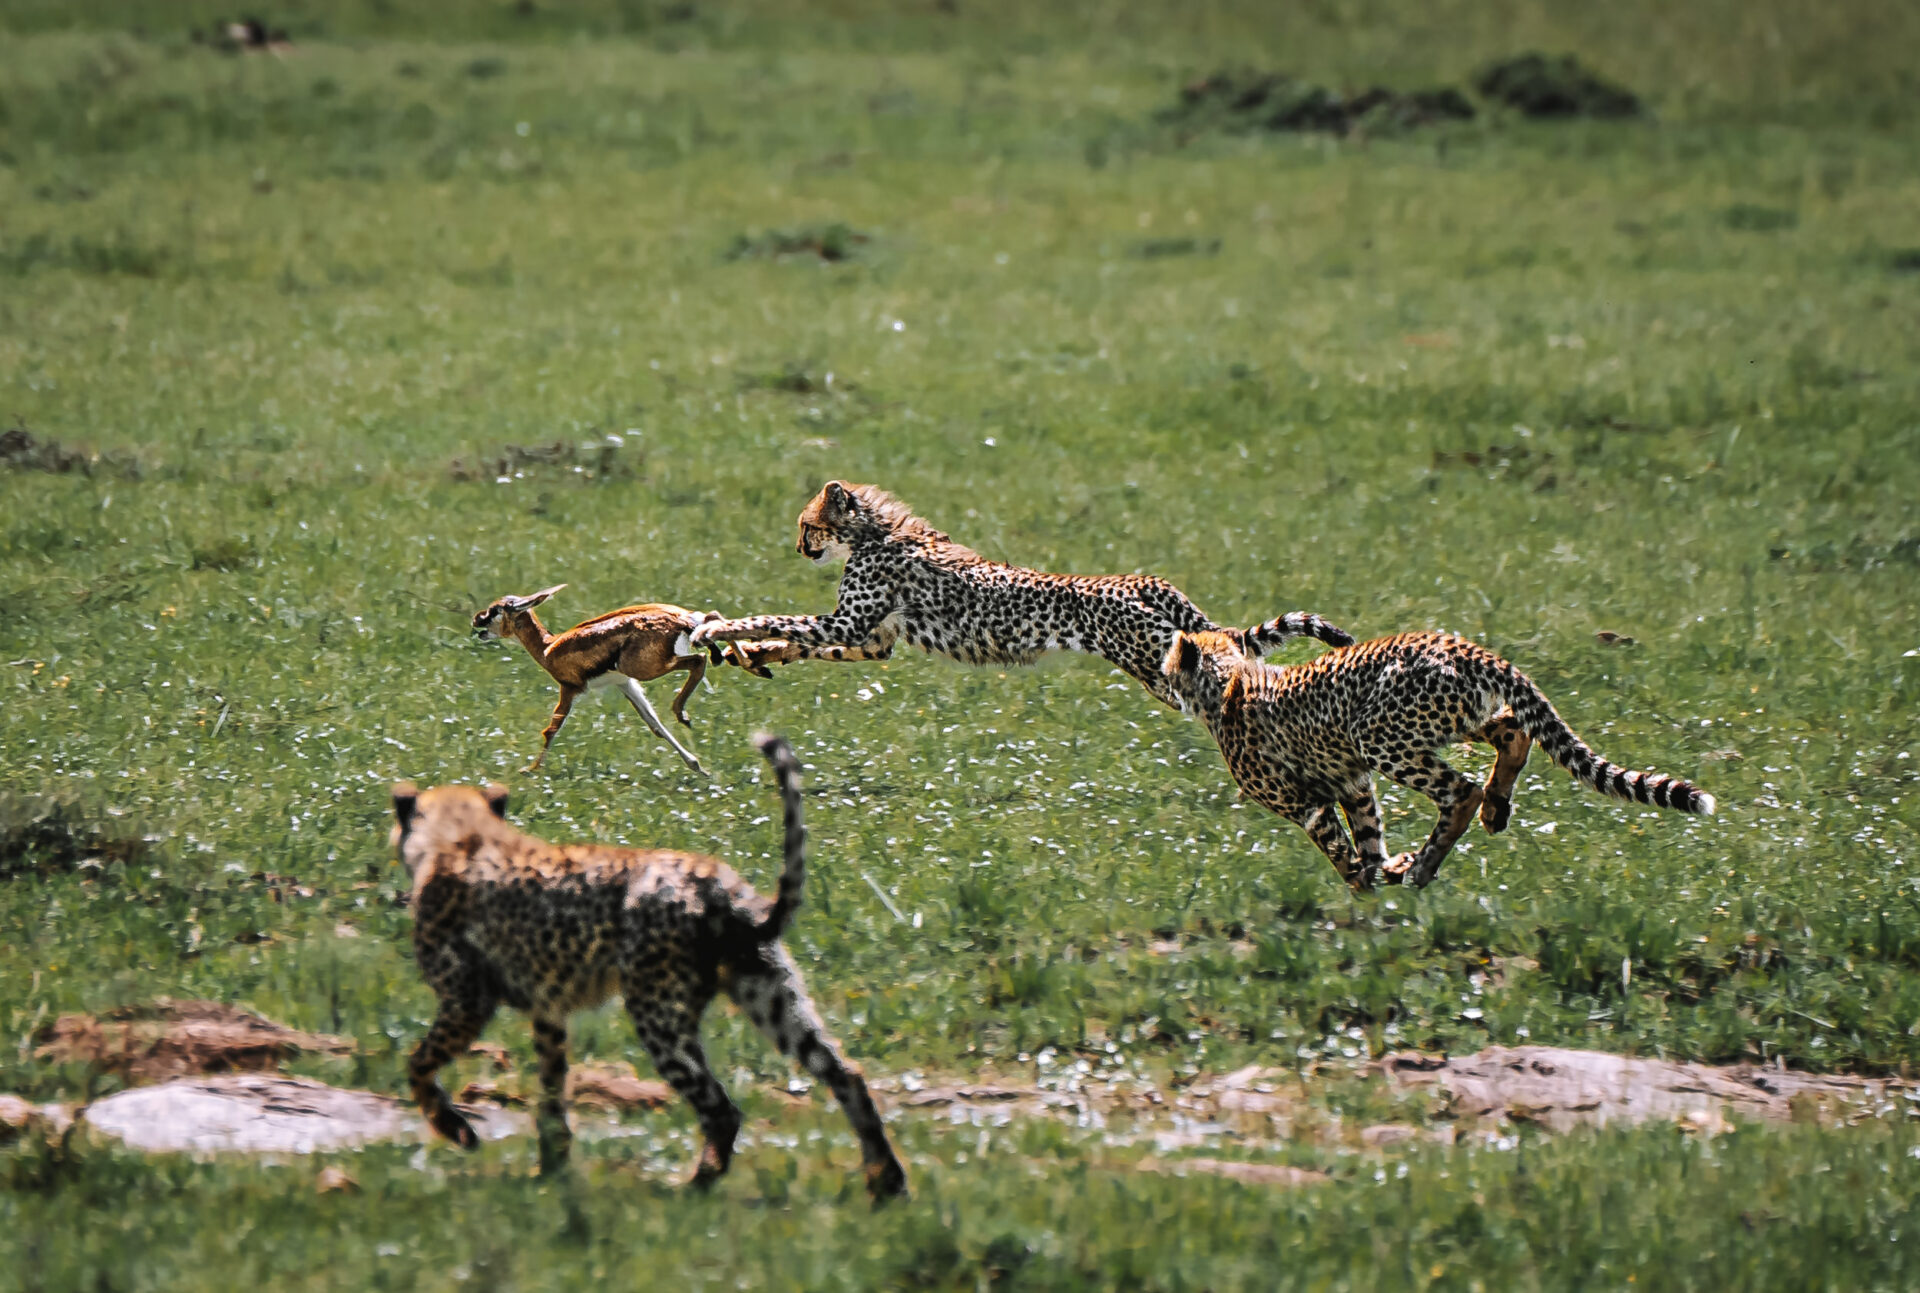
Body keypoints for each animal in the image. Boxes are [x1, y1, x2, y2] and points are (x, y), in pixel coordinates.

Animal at [387, 730, 906, 1198]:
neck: (462, 832)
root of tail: (716, 881)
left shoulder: (466, 1001)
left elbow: (418, 1064)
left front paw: (456, 1131)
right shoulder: (548, 1012)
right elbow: (551, 1095)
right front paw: (550, 1173)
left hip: (657, 1014)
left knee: (721, 1108)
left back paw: (691, 1190)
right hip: (771, 998)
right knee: (846, 1075)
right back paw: (886, 1183)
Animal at [691, 482, 1351, 710]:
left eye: (808, 526)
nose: (798, 547)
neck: (875, 533)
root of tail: (1142, 580)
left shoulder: (851, 626)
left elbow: (774, 618)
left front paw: (714, 628)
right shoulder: (871, 640)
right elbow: (797, 640)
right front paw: (758, 656)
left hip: (1160, 667)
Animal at [1159, 630, 1720, 891]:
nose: (1163, 682)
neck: (1226, 681)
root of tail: (1464, 647)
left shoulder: (1307, 805)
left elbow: (1340, 852)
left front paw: (1366, 887)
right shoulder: (1353, 785)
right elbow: (1367, 839)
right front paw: (1381, 875)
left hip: (1380, 733)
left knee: (1461, 790)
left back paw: (1428, 862)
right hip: (1456, 716)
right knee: (1516, 732)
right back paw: (1494, 808)